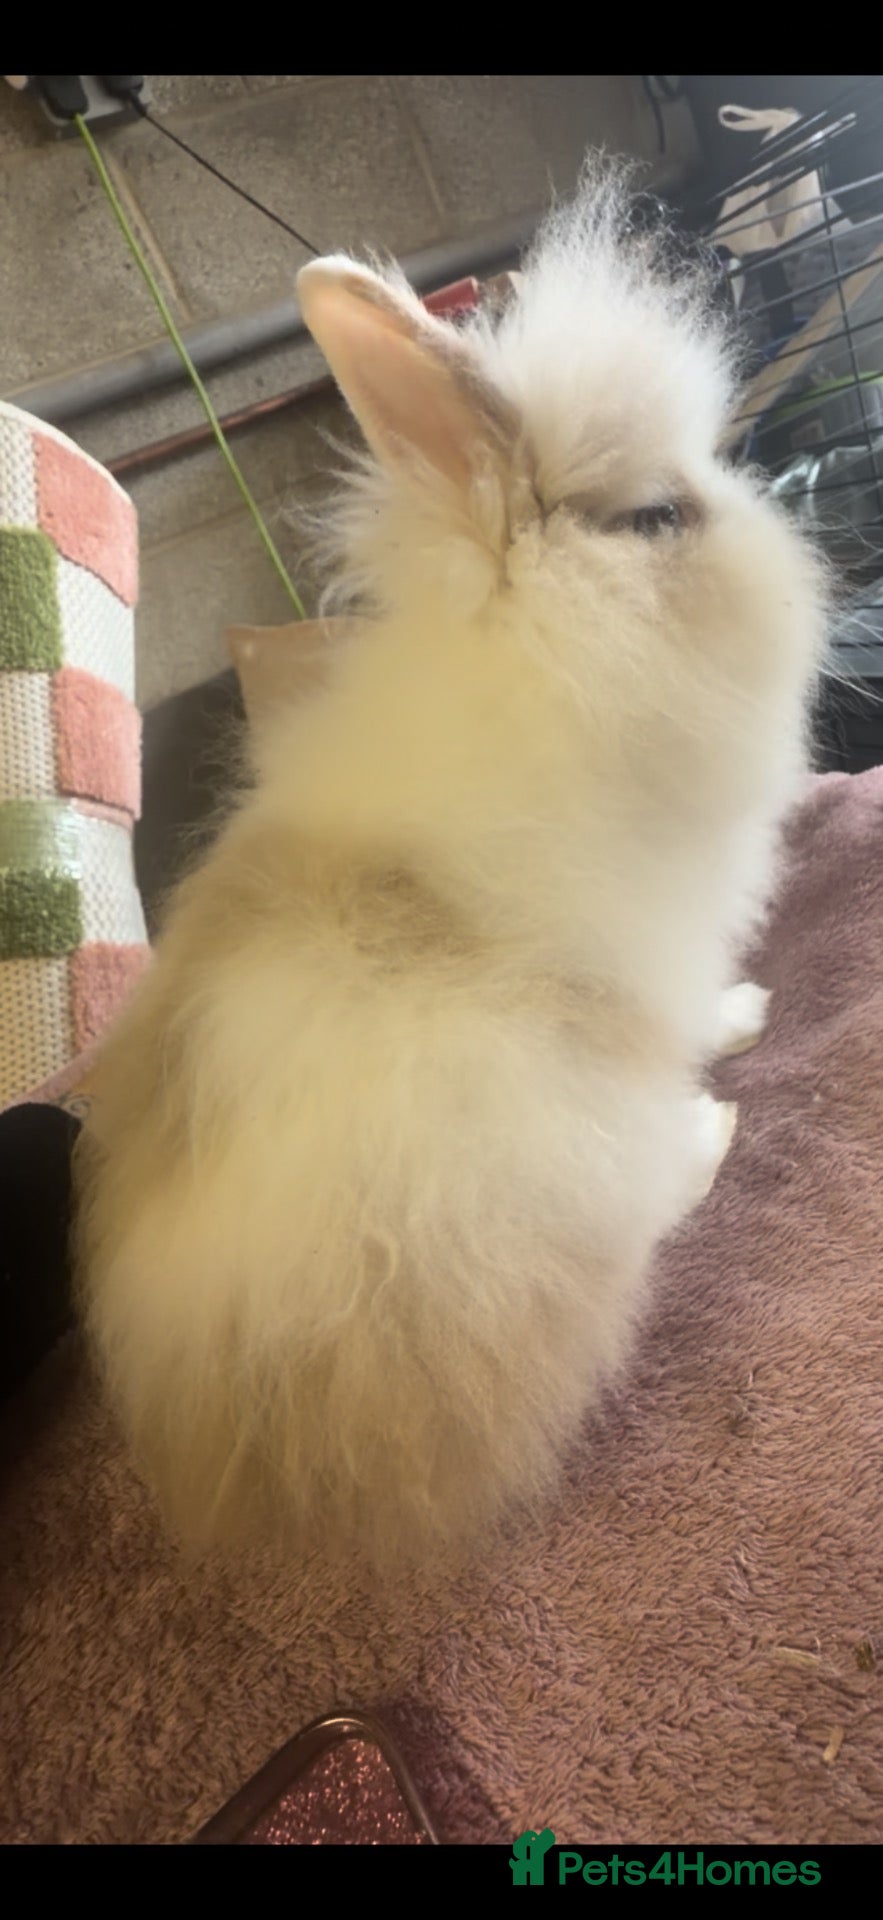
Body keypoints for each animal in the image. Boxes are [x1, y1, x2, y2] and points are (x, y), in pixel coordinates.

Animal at [73, 158, 827, 1572]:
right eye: (657, 516)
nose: (795, 571)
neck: (552, 650)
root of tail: (240, 1467)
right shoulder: (644, 947)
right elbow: (682, 1015)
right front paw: (745, 1021)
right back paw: (708, 1125)